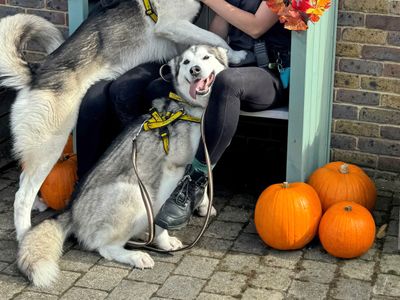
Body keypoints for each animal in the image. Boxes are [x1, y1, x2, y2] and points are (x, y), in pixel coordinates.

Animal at [0, 0, 247, 241]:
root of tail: (35, 75)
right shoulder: (172, 24)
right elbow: (214, 38)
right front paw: (235, 55)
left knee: (23, 180)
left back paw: (39, 205)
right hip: (50, 146)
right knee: (22, 195)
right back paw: (24, 233)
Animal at [18, 45, 228, 288]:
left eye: (206, 57)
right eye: (186, 62)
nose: (195, 70)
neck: (189, 108)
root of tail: (70, 211)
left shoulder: (200, 159)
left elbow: (202, 180)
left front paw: (204, 205)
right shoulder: (171, 172)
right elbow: (163, 216)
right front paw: (164, 241)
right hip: (133, 192)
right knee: (104, 248)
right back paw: (135, 255)